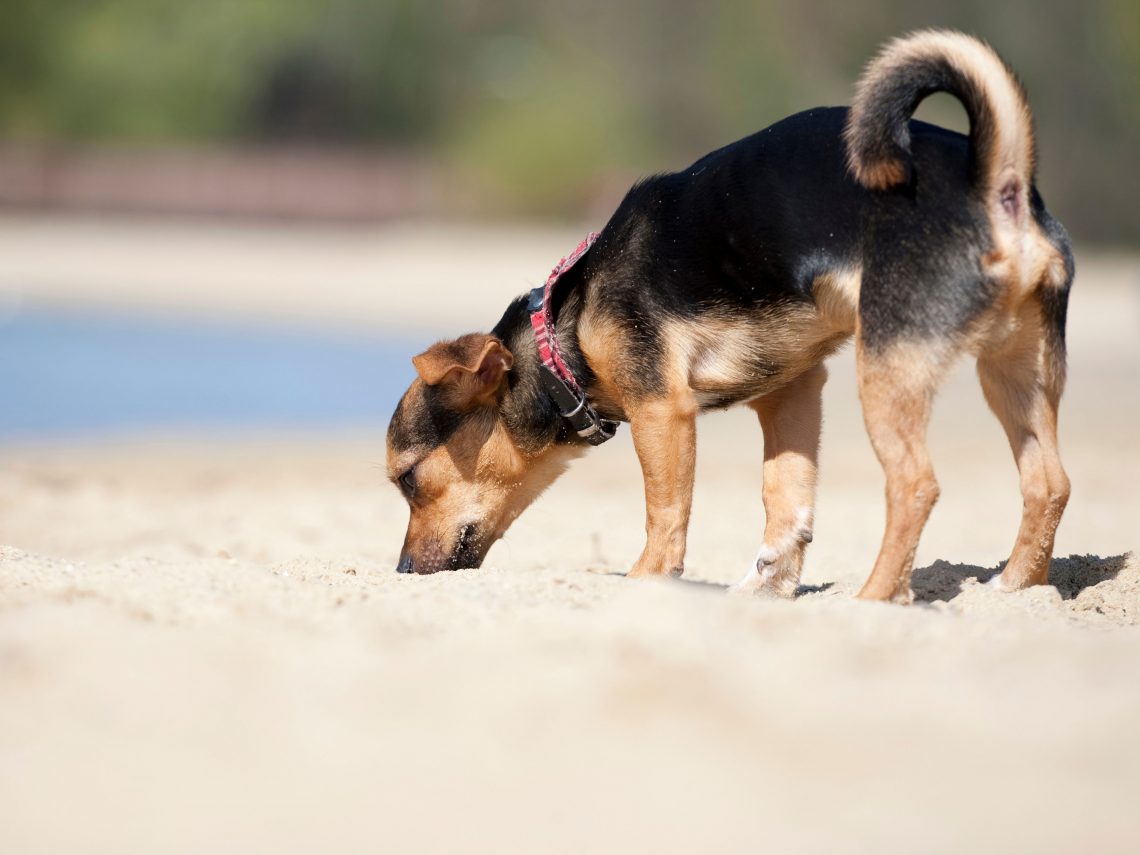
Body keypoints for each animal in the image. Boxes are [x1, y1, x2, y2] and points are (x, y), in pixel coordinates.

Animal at [387, 28, 1071, 601]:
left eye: (409, 480)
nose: (400, 570)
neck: (564, 330)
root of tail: (996, 185)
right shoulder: (792, 393)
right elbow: (787, 500)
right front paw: (769, 587)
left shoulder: (661, 411)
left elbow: (665, 510)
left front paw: (647, 579)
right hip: (1014, 371)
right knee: (1049, 483)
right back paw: (1016, 590)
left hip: (888, 369)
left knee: (915, 486)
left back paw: (876, 597)